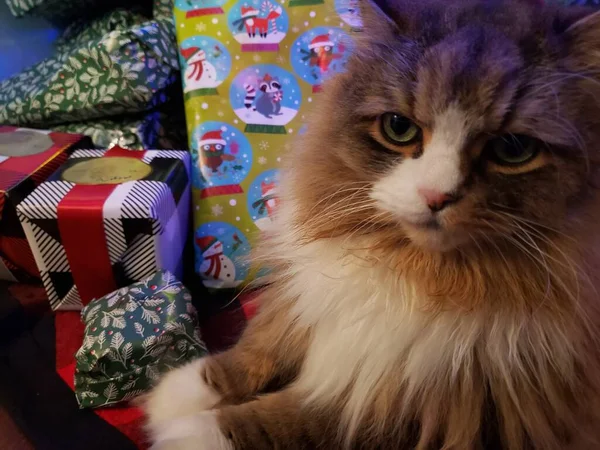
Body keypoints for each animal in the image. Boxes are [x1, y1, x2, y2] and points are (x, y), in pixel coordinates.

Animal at [144, 1, 600, 448]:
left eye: (512, 148)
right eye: (399, 128)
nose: (436, 196)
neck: (408, 270)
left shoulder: (440, 403)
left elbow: (290, 422)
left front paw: (188, 432)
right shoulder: (311, 298)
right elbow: (259, 347)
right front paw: (175, 394)